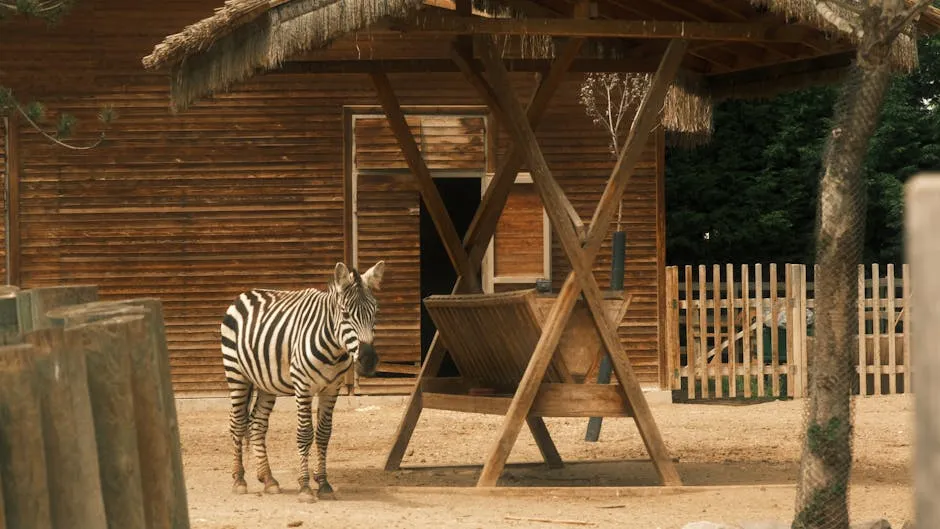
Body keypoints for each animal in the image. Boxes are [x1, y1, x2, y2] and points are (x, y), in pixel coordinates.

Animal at [218, 260, 384, 504]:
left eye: (375, 312)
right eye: (345, 314)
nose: (369, 361)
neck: (334, 348)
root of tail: (246, 293)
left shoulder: (331, 389)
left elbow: (324, 434)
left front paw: (323, 484)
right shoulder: (303, 385)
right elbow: (305, 433)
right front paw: (305, 487)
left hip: (266, 382)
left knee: (257, 424)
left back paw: (268, 479)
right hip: (236, 373)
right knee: (237, 422)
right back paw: (239, 479)